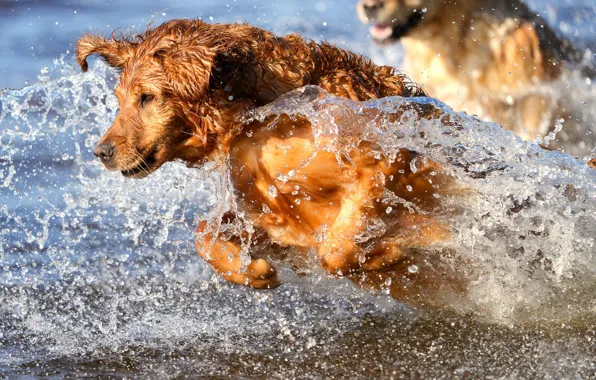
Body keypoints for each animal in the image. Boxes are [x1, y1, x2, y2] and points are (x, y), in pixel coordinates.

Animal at [77, 20, 458, 302]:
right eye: (119, 99)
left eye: (147, 97)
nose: (101, 152)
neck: (262, 116)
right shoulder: (270, 211)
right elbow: (204, 233)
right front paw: (252, 272)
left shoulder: (383, 163)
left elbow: (336, 250)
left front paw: (390, 252)